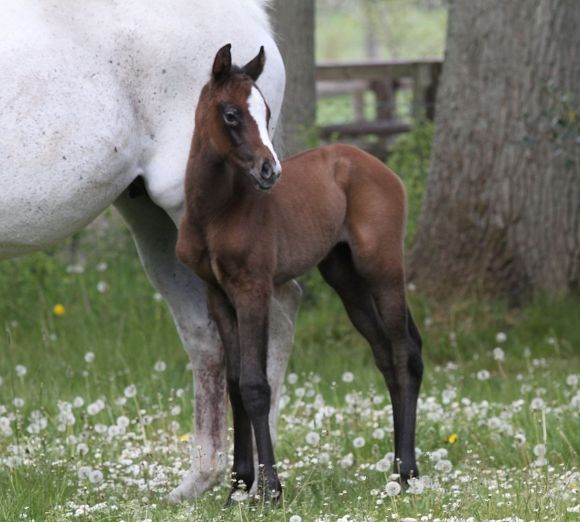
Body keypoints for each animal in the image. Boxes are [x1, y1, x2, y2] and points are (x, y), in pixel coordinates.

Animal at [0, 0, 300, 502]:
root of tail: (252, 19)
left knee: (275, 309)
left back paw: (260, 481)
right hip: (159, 224)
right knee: (207, 339)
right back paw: (202, 481)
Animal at [174, 44, 424, 500]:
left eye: (267, 111)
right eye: (231, 114)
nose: (269, 171)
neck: (215, 212)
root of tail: (378, 165)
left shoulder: (253, 288)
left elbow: (256, 386)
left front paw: (270, 490)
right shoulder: (217, 294)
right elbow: (235, 384)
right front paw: (239, 487)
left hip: (381, 267)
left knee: (404, 354)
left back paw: (408, 471)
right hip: (344, 277)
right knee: (384, 352)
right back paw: (398, 466)